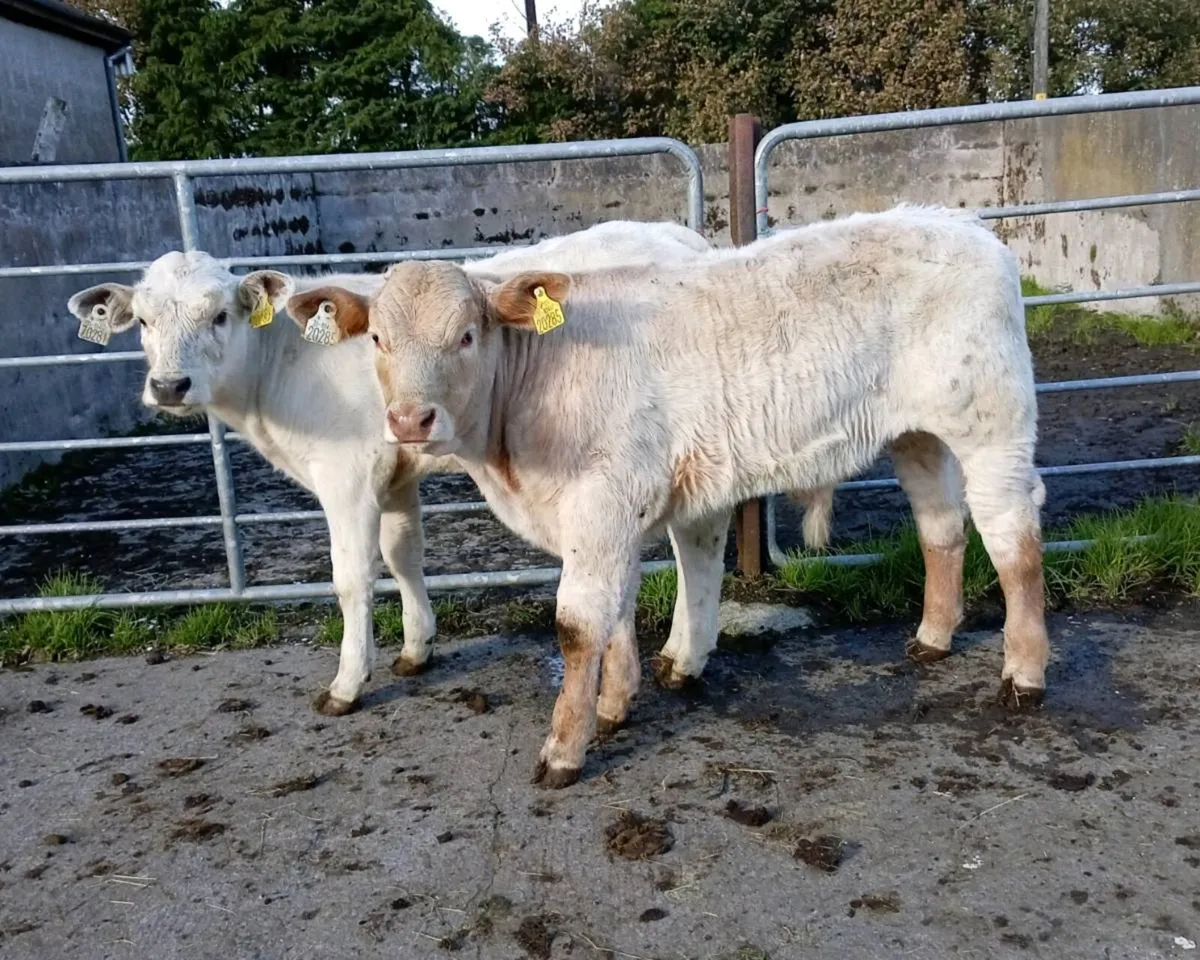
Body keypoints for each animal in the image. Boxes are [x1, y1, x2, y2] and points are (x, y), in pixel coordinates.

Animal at [66, 220, 771, 716]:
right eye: (144, 321)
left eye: (218, 314)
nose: (169, 385)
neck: (280, 372)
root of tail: (685, 238)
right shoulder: (395, 472)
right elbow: (403, 556)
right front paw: (415, 648)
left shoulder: (346, 475)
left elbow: (352, 578)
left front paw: (348, 683)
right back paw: (680, 653)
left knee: (694, 540)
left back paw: (685, 656)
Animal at [288, 205, 1049, 788]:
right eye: (378, 338)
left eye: (467, 335)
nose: (410, 420)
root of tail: (961, 223)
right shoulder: (611, 511)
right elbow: (620, 606)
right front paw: (618, 702)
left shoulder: (602, 497)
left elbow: (577, 623)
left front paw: (565, 749)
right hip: (920, 434)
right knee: (941, 525)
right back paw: (932, 637)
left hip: (994, 427)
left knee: (1013, 539)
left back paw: (1023, 673)